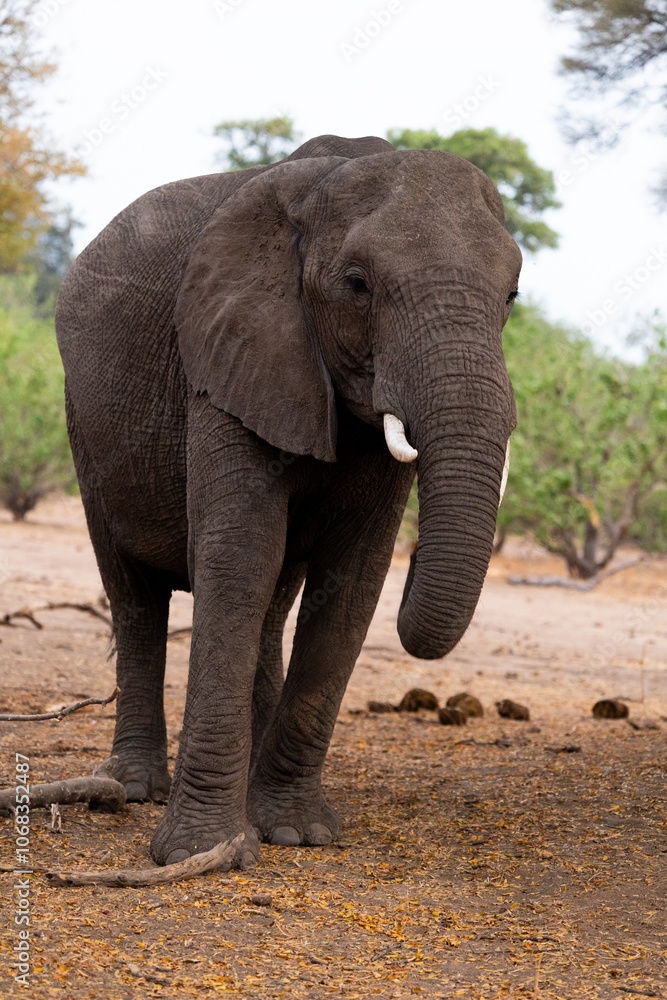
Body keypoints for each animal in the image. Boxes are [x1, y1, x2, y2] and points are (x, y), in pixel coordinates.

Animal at [55, 133, 521, 869]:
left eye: (512, 294)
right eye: (357, 284)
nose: (422, 557)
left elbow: (352, 581)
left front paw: (296, 833)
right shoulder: (228, 357)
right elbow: (240, 554)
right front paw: (202, 853)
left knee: (274, 601)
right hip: (85, 428)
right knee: (134, 595)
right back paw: (130, 789)